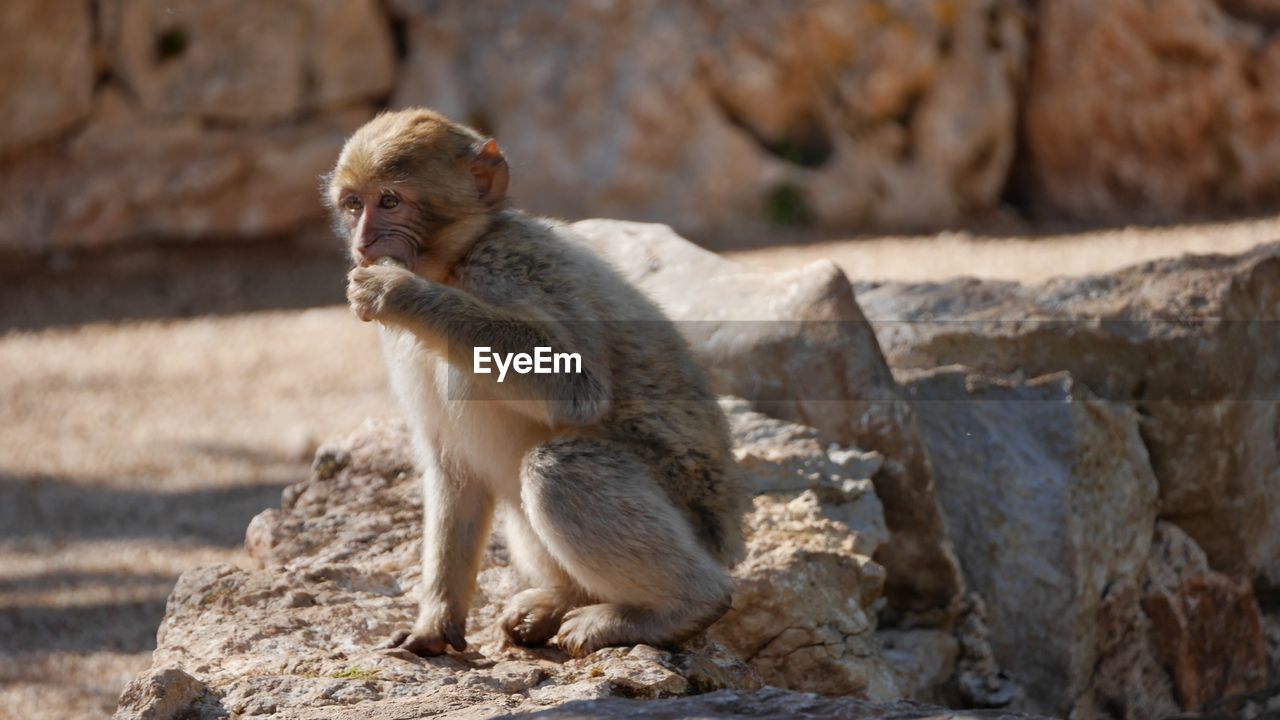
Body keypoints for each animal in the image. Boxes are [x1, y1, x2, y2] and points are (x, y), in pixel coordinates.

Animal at [322, 107, 747, 655]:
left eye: (390, 201)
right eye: (353, 205)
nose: (363, 242)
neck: (454, 263)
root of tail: (728, 538)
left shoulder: (511, 269)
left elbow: (578, 387)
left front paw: (400, 293)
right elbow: (452, 470)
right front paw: (435, 622)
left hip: (696, 515)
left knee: (558, 468)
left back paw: (681, 608)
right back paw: (563, 600)